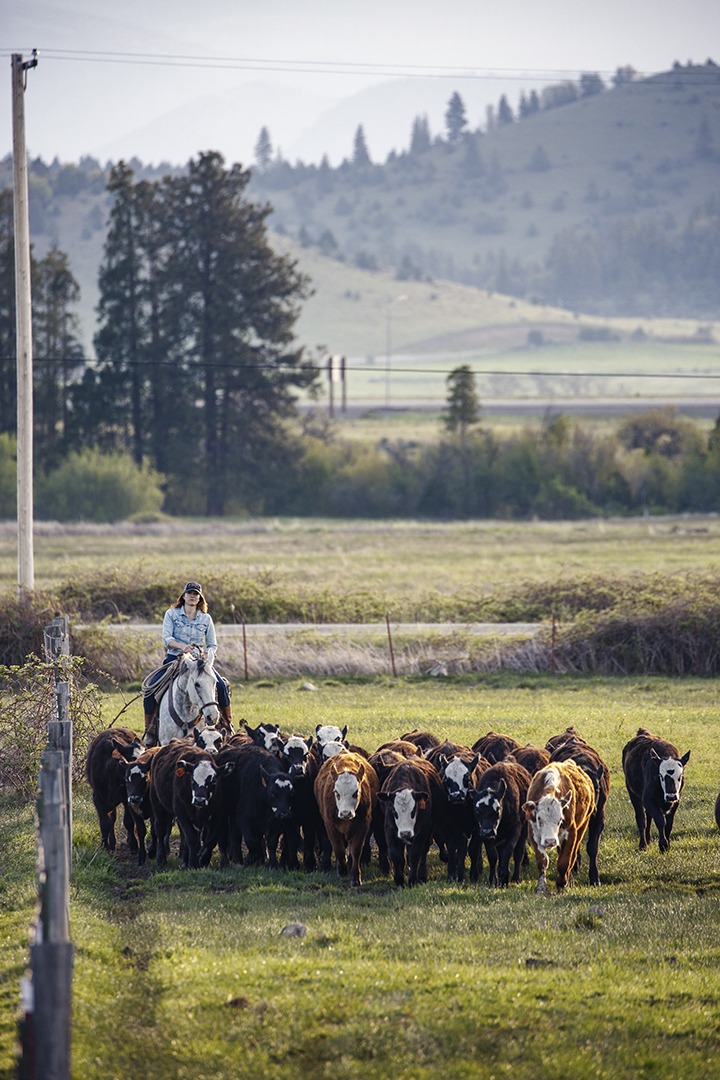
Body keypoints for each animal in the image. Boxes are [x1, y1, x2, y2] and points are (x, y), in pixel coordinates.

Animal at [313, 751, 379, 885]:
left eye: (356, 793)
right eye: (336, 793)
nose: (345, 813)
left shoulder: (363, 826)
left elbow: (355, 850)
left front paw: (355, 877)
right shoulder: (330, 826)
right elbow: (338, 849)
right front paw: (342, 871)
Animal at [377, 751, 444, 885]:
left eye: (414, 810)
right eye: (394, 811)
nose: (405, 833)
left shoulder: (423, 830)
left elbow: (415, 854)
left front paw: (412, 879)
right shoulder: (389, 828)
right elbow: (395, 853)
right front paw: (398, 879)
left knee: (423, 851)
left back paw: (422, 875)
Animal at [524, 760, 595, 894]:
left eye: (560, 820)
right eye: (539, 819)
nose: (550, 841)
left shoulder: (571, 833)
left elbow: (564, 861)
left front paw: (561, 884)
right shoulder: (533, 833)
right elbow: (542, 861)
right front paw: (541, 887)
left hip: (583, 826)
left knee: (572, 857)